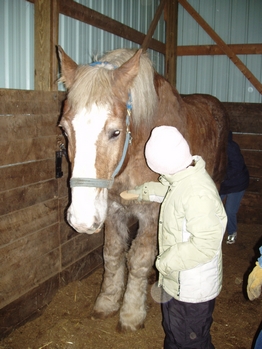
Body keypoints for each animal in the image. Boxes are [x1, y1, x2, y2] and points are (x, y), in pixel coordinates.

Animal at [57, 47, 229, 332]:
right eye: (65, 129)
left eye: (115, 132)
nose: (81, 220)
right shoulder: (113, 209)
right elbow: (113, 253)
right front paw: (108, 300)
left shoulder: (152, 213)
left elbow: (138, 259)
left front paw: (131, 312)